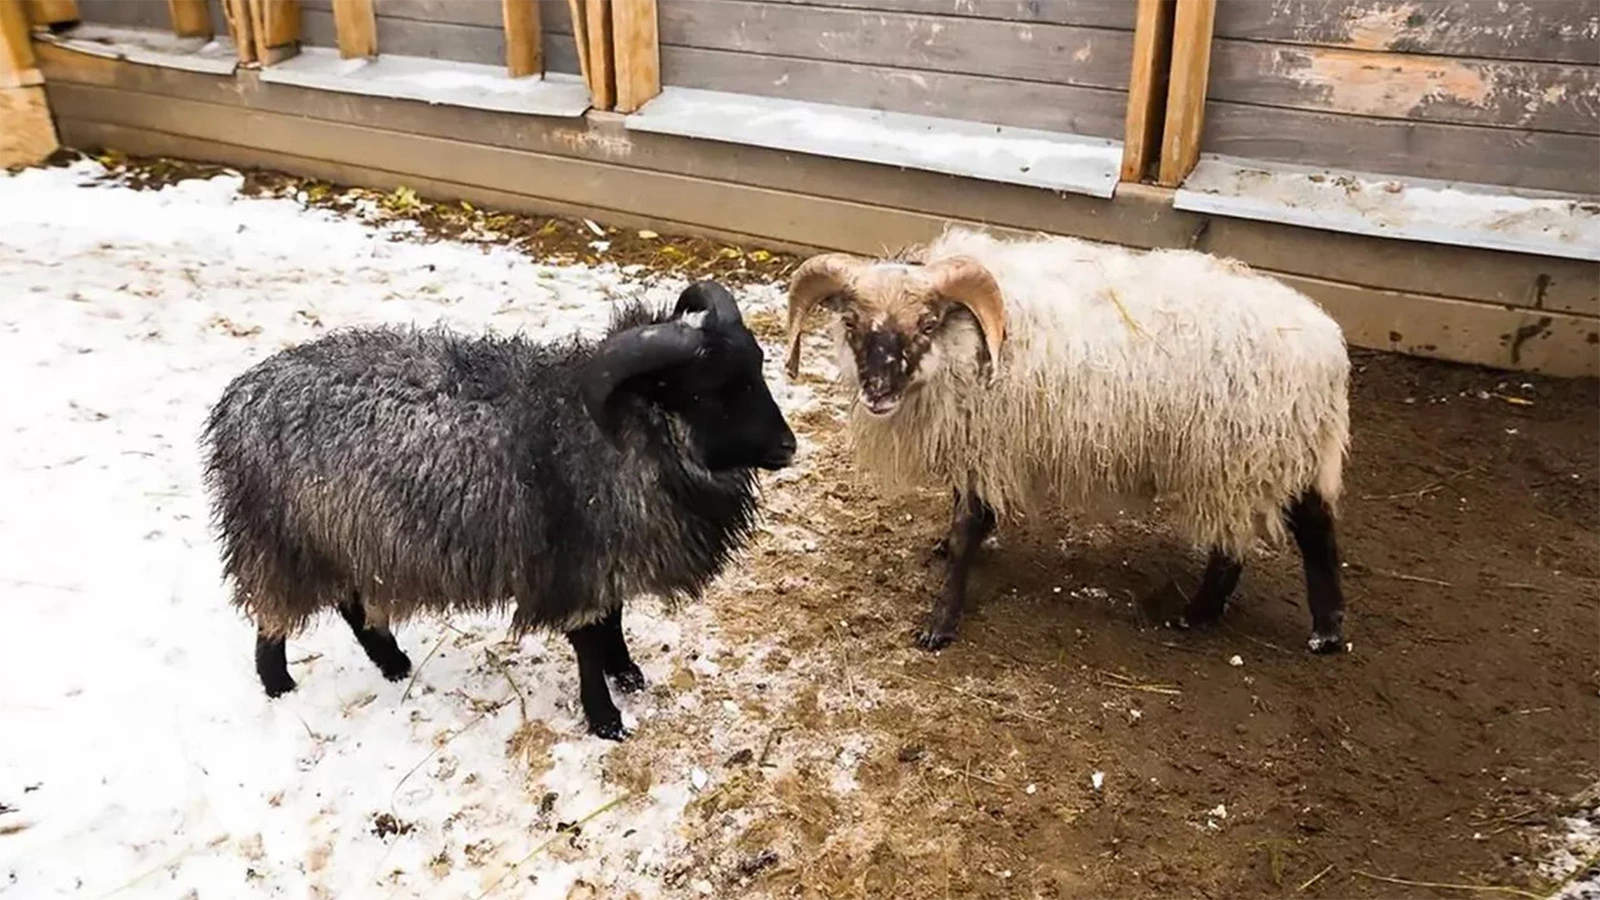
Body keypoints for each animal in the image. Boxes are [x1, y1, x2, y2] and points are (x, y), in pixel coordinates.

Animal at [201, 280, 800, 736]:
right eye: (710, 392)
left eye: (757, 368)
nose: (788, 446)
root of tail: (238, 399)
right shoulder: (572, 565)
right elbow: (588, 641)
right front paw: (605, 719)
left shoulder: (604, 558)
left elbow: (613, 620)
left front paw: (628, 674)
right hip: (281, 538)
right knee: (273, 616)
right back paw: (279, 686)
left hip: (346, 536)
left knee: (351, 605)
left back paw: (393, 665)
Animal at [787, 225, 1350, 650]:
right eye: (851, 322)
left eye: (927, 323)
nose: (877, 391)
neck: (969, 340)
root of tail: (1328, 346)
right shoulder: (977, 443)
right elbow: (961, 512)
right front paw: (947, 546)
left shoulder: (989, 442)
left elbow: (971, 523)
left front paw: (941, 622)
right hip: (1279, 453)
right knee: (1314, 522)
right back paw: (1325, 630)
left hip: (1236, 459)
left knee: (1241, 546)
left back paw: (1198, 615)